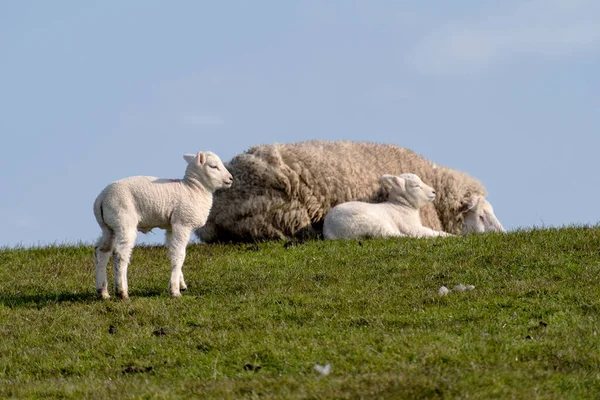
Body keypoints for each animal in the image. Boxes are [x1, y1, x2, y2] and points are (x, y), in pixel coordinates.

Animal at [92, 152, 233, 298]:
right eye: (213, 166)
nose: (231, 178)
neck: (194, 189)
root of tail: (101, 199)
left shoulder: (171, 226)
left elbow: (172, 253)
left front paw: (180, 284)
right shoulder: (182, 223)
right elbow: (179, 255)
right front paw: (175, 291)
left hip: (108, 227)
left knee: (101, 251)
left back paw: (103, 292)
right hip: (124, 221)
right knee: (120, 254)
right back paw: (122, 292)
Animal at [324, 173, 454, 239]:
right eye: (416, 186)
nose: (434, 192)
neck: (401, 206)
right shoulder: (410, 226)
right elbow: (431, 232)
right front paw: (452, 236)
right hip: (373, 223)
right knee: (393, 235)